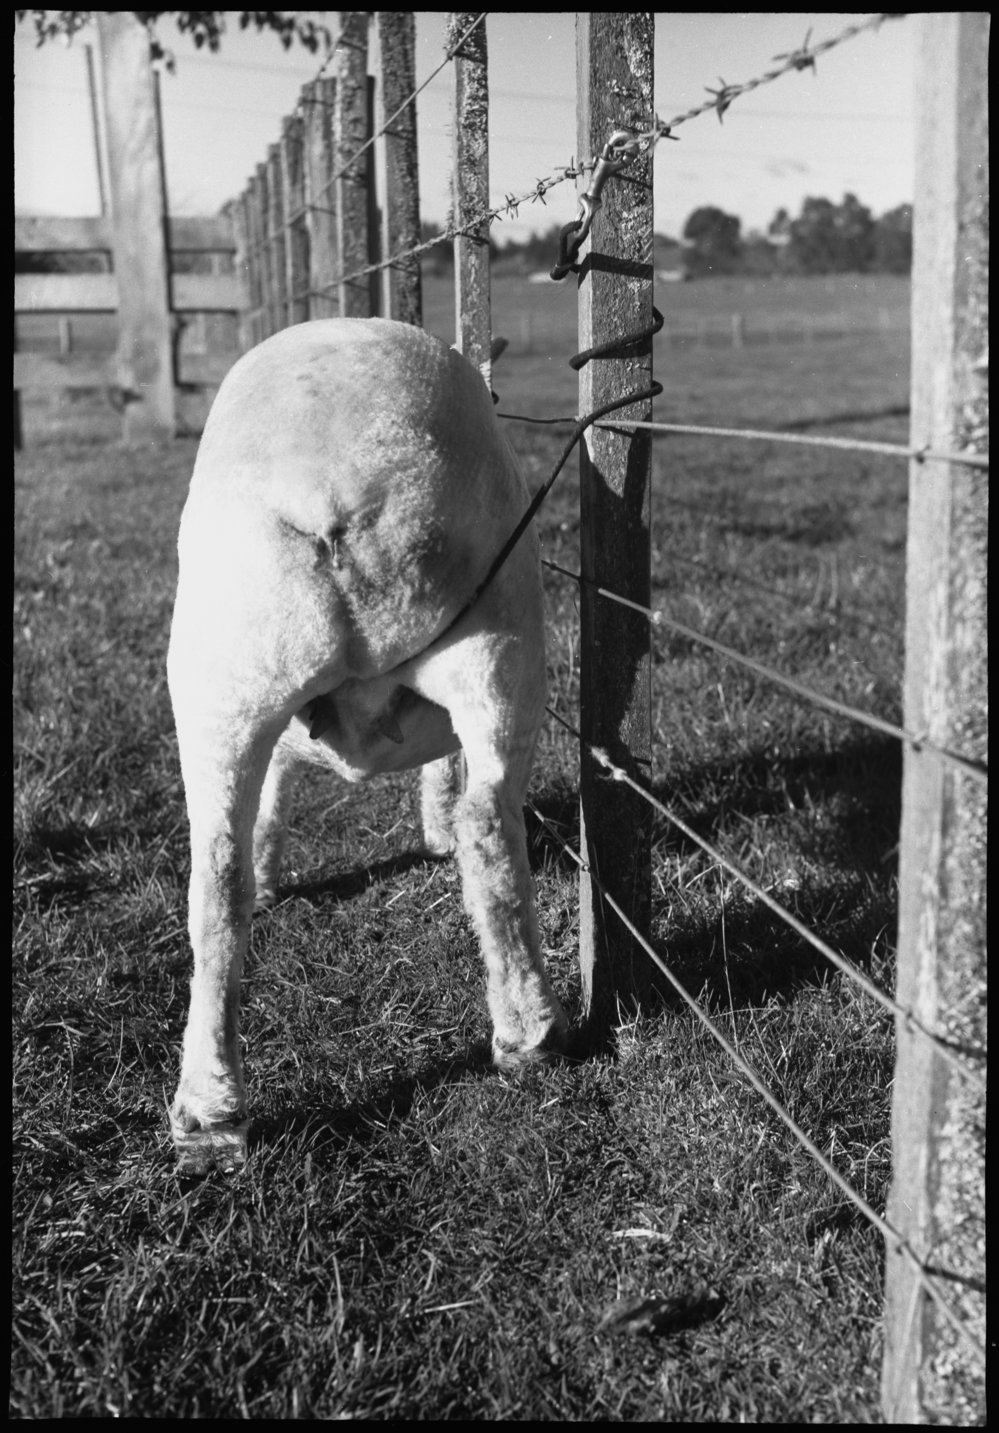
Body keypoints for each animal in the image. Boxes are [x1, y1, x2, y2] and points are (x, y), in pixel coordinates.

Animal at [167, 317, 568, 1172]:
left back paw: (209, 1116)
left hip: (229, 676)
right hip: (496, 638)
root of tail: (334, 481)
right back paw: (526, 1031)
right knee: (486, 821)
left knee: (216, 878)